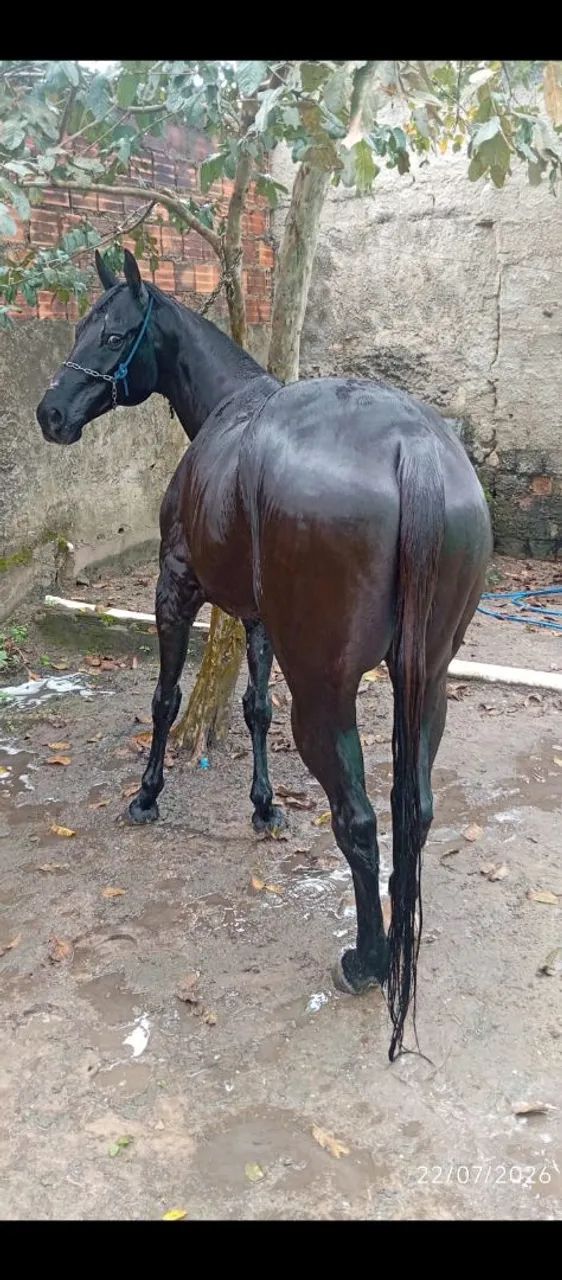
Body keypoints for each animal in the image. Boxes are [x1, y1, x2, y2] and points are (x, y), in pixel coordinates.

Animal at [36, 249, 492, 1059]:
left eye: (114, 332)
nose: (50, 413)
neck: (229, 408)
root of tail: (412, 445)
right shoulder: (255, 619)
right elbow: (252, 707)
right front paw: (264, 806)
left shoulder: (176, 588)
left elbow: (165, 700)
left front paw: (148, 795)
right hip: (428, 683)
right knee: (414, 809)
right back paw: (399, 938)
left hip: (324, 691)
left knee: (359, 818)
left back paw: (369, 961)